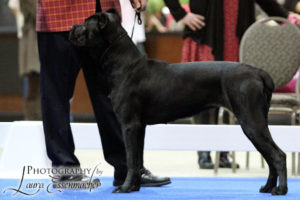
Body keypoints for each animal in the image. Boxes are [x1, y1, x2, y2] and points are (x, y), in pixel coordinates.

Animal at [69, 8, 288, 195]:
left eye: (86, 23)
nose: (71, 28)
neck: (123, 63)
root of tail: (257, 72)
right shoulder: (140, 127)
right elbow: (138, 158)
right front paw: (135, 187)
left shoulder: (129, 124)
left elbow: (131, 159)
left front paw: (125, 188)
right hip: (256, 121)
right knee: (270, 157)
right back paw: (268, 187)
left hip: (251, 121)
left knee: (278, 156)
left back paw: (281, 190)